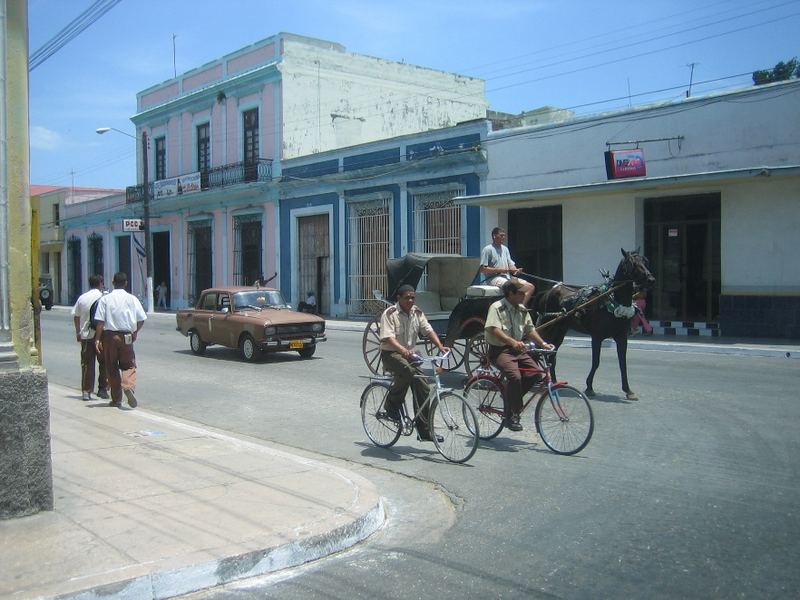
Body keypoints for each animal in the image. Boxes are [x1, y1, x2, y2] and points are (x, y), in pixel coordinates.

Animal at [532, 248, 656, 404]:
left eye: (645, 261)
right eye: (632, 264)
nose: (651, 280)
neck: (612, 300)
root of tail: (547, 292)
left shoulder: (621, 337)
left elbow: (623, 363)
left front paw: (628, 390)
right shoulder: (597, 337)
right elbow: (596, 362)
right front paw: (589, 387)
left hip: (560, 330)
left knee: (552, 354)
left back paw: (554, 382)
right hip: (548, 327)